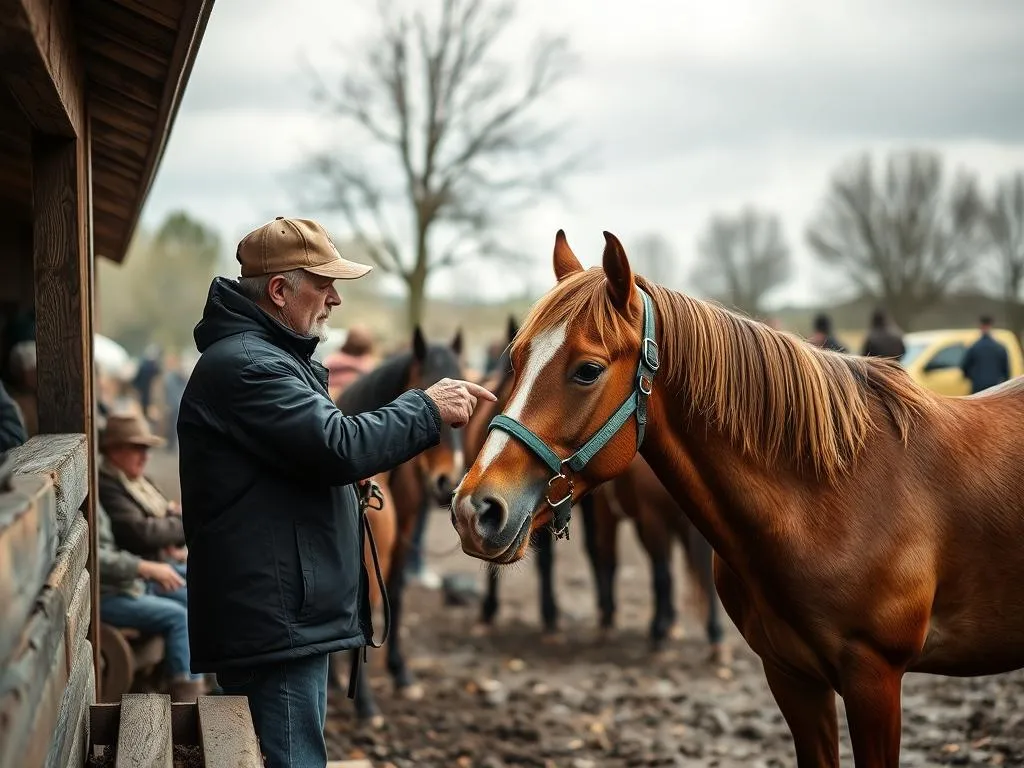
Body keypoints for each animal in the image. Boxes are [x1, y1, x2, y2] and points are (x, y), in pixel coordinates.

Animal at [452, 230, 1024, 768]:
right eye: (516, 360)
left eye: (587, 369)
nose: (475, 509)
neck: (837, 497)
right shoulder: (793, 678)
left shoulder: (875, 680)